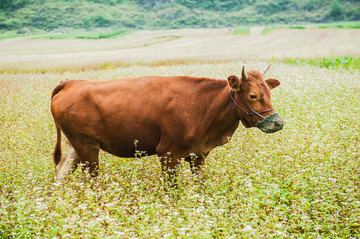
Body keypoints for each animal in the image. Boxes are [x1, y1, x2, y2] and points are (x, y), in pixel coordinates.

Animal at [50, 65, 284, 181]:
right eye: (253, 95)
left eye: (269, 91)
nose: (278, 123)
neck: (204, 105)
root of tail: (72, 83)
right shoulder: (168, 153)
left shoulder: (198, 154)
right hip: (87, 146)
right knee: (91, 179)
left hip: (74, 147)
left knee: (61, 173)